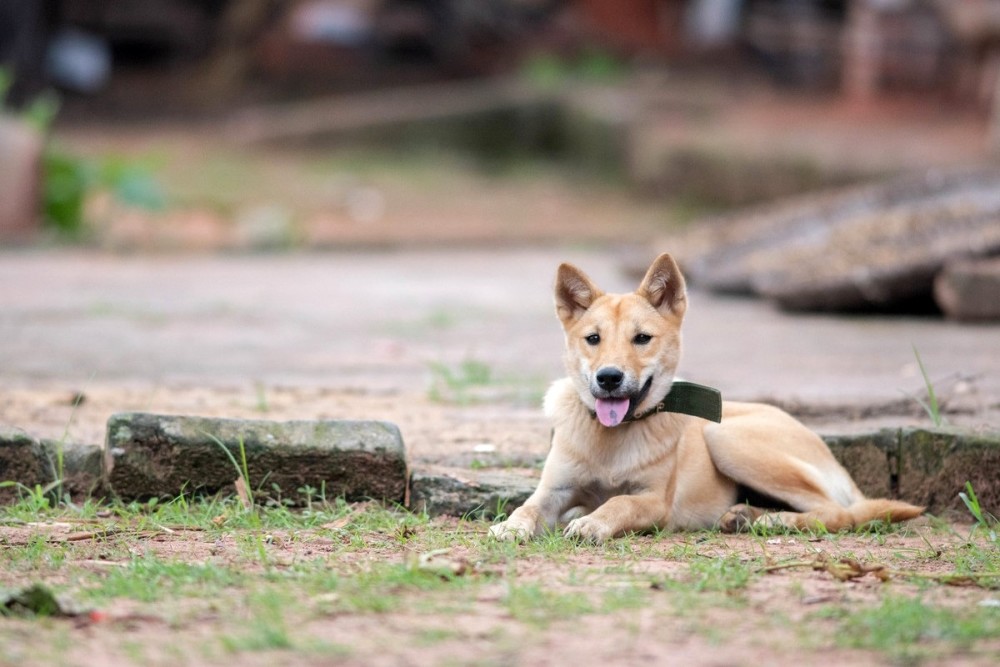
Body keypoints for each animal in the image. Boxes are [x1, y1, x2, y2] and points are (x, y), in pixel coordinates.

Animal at [490, 253, 924, 542]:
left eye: (642, 338)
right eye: (592, 339)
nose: (609, 378)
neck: (612, 440)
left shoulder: (654, 502)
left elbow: (619, 503)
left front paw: (592, 522)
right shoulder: (554, 491)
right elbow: (527, 506)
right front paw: (510, 526)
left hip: (725, 437)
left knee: (838, 512)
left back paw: (777, 521)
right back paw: (745, 515)